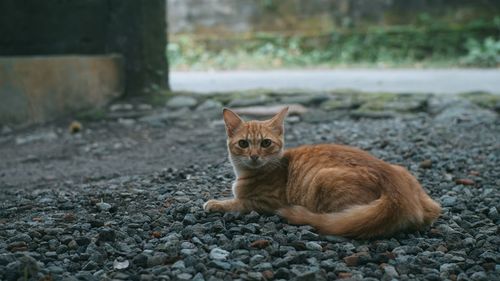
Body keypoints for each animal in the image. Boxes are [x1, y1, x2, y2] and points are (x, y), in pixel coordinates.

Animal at [202, 106, 438, 237]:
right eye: (243, 143)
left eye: (266, 143)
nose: (254, 155)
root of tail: (397, 192)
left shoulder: (264, 203)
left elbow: (237, 203)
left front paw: (216, 203)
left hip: (323, 178)